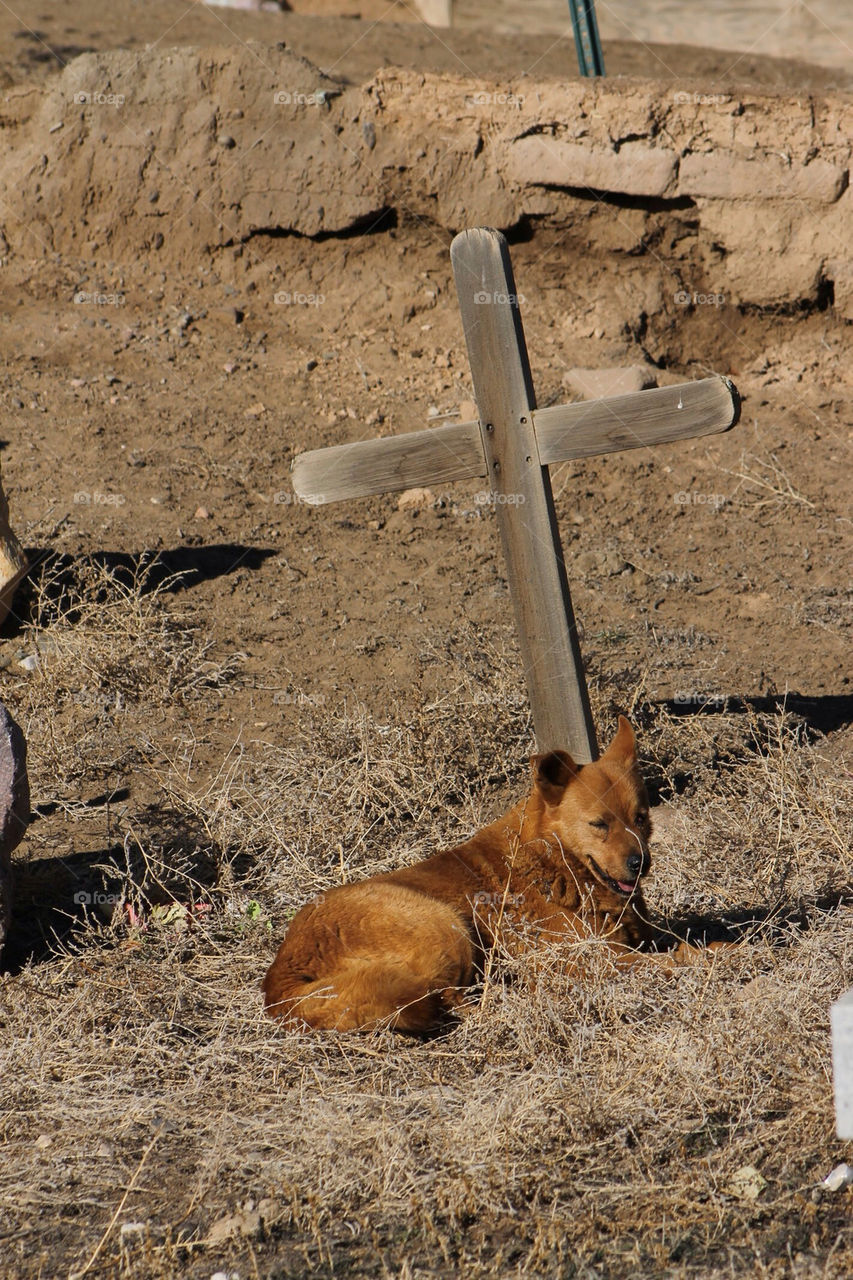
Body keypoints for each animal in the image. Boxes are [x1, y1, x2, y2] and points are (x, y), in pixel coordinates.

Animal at [263, 716, 712, 1034]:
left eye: (641, 817)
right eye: (599, 825)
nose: (640, 862)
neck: (553, 864)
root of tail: (281, 978)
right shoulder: (593, 958)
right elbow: (686, 957)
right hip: (445, 927)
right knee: (451, 1001)